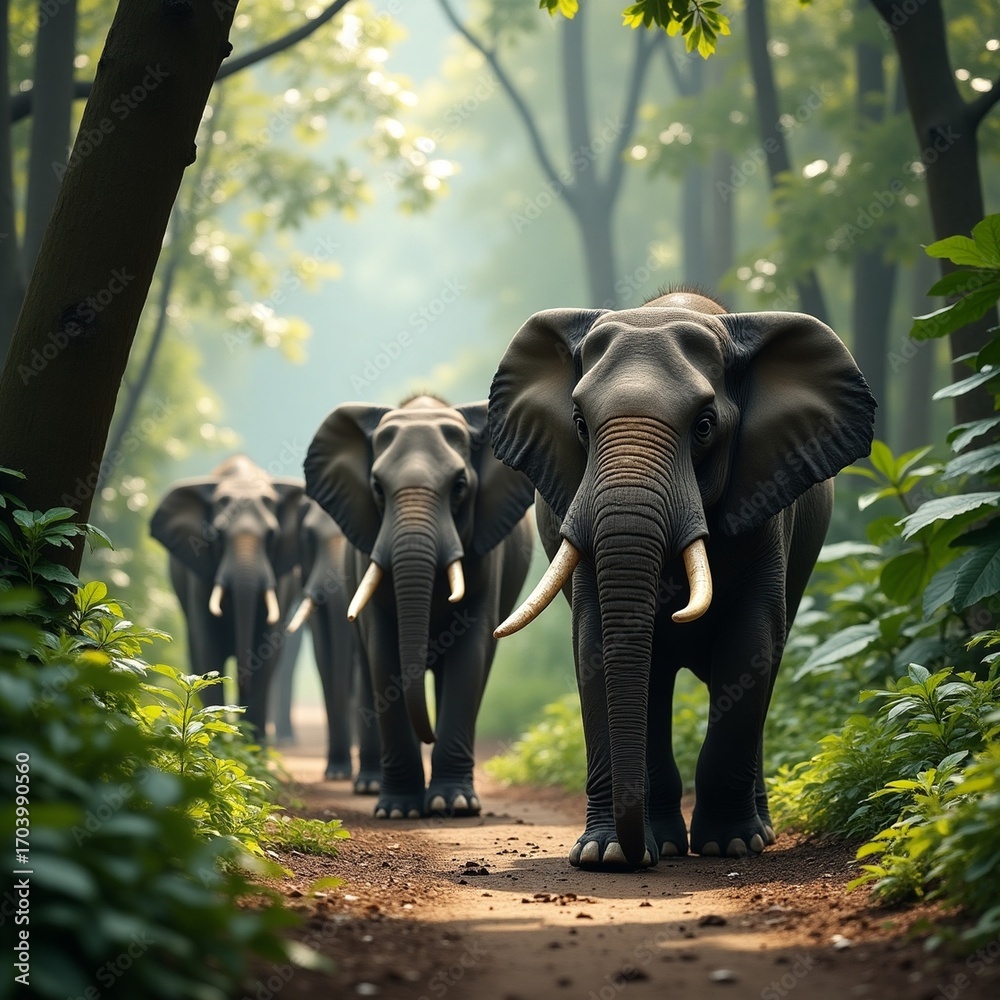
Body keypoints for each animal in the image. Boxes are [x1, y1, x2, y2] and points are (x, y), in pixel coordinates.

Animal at [150, 455, 305, 739]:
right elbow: (208, 649)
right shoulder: (199, 575)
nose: (241, 689)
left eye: (271, 536)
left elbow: (265, 652)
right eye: (217, 536)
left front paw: (254, 746)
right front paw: (217, 741)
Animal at [304, 394, 535, 819]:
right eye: (377, 488)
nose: (428, 734)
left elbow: (471, 649)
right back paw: (371, 786)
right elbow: (383, 651)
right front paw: (398, 809)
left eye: (459, 486)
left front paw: (454, 804)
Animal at [487, 290, 876, 869]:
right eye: (579, 423)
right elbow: (596, 647)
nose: (632, 858)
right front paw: (604, 855)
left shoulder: (765, 507)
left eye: (705, 425)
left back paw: (754, 834)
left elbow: (749, 644)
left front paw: (728, 846)